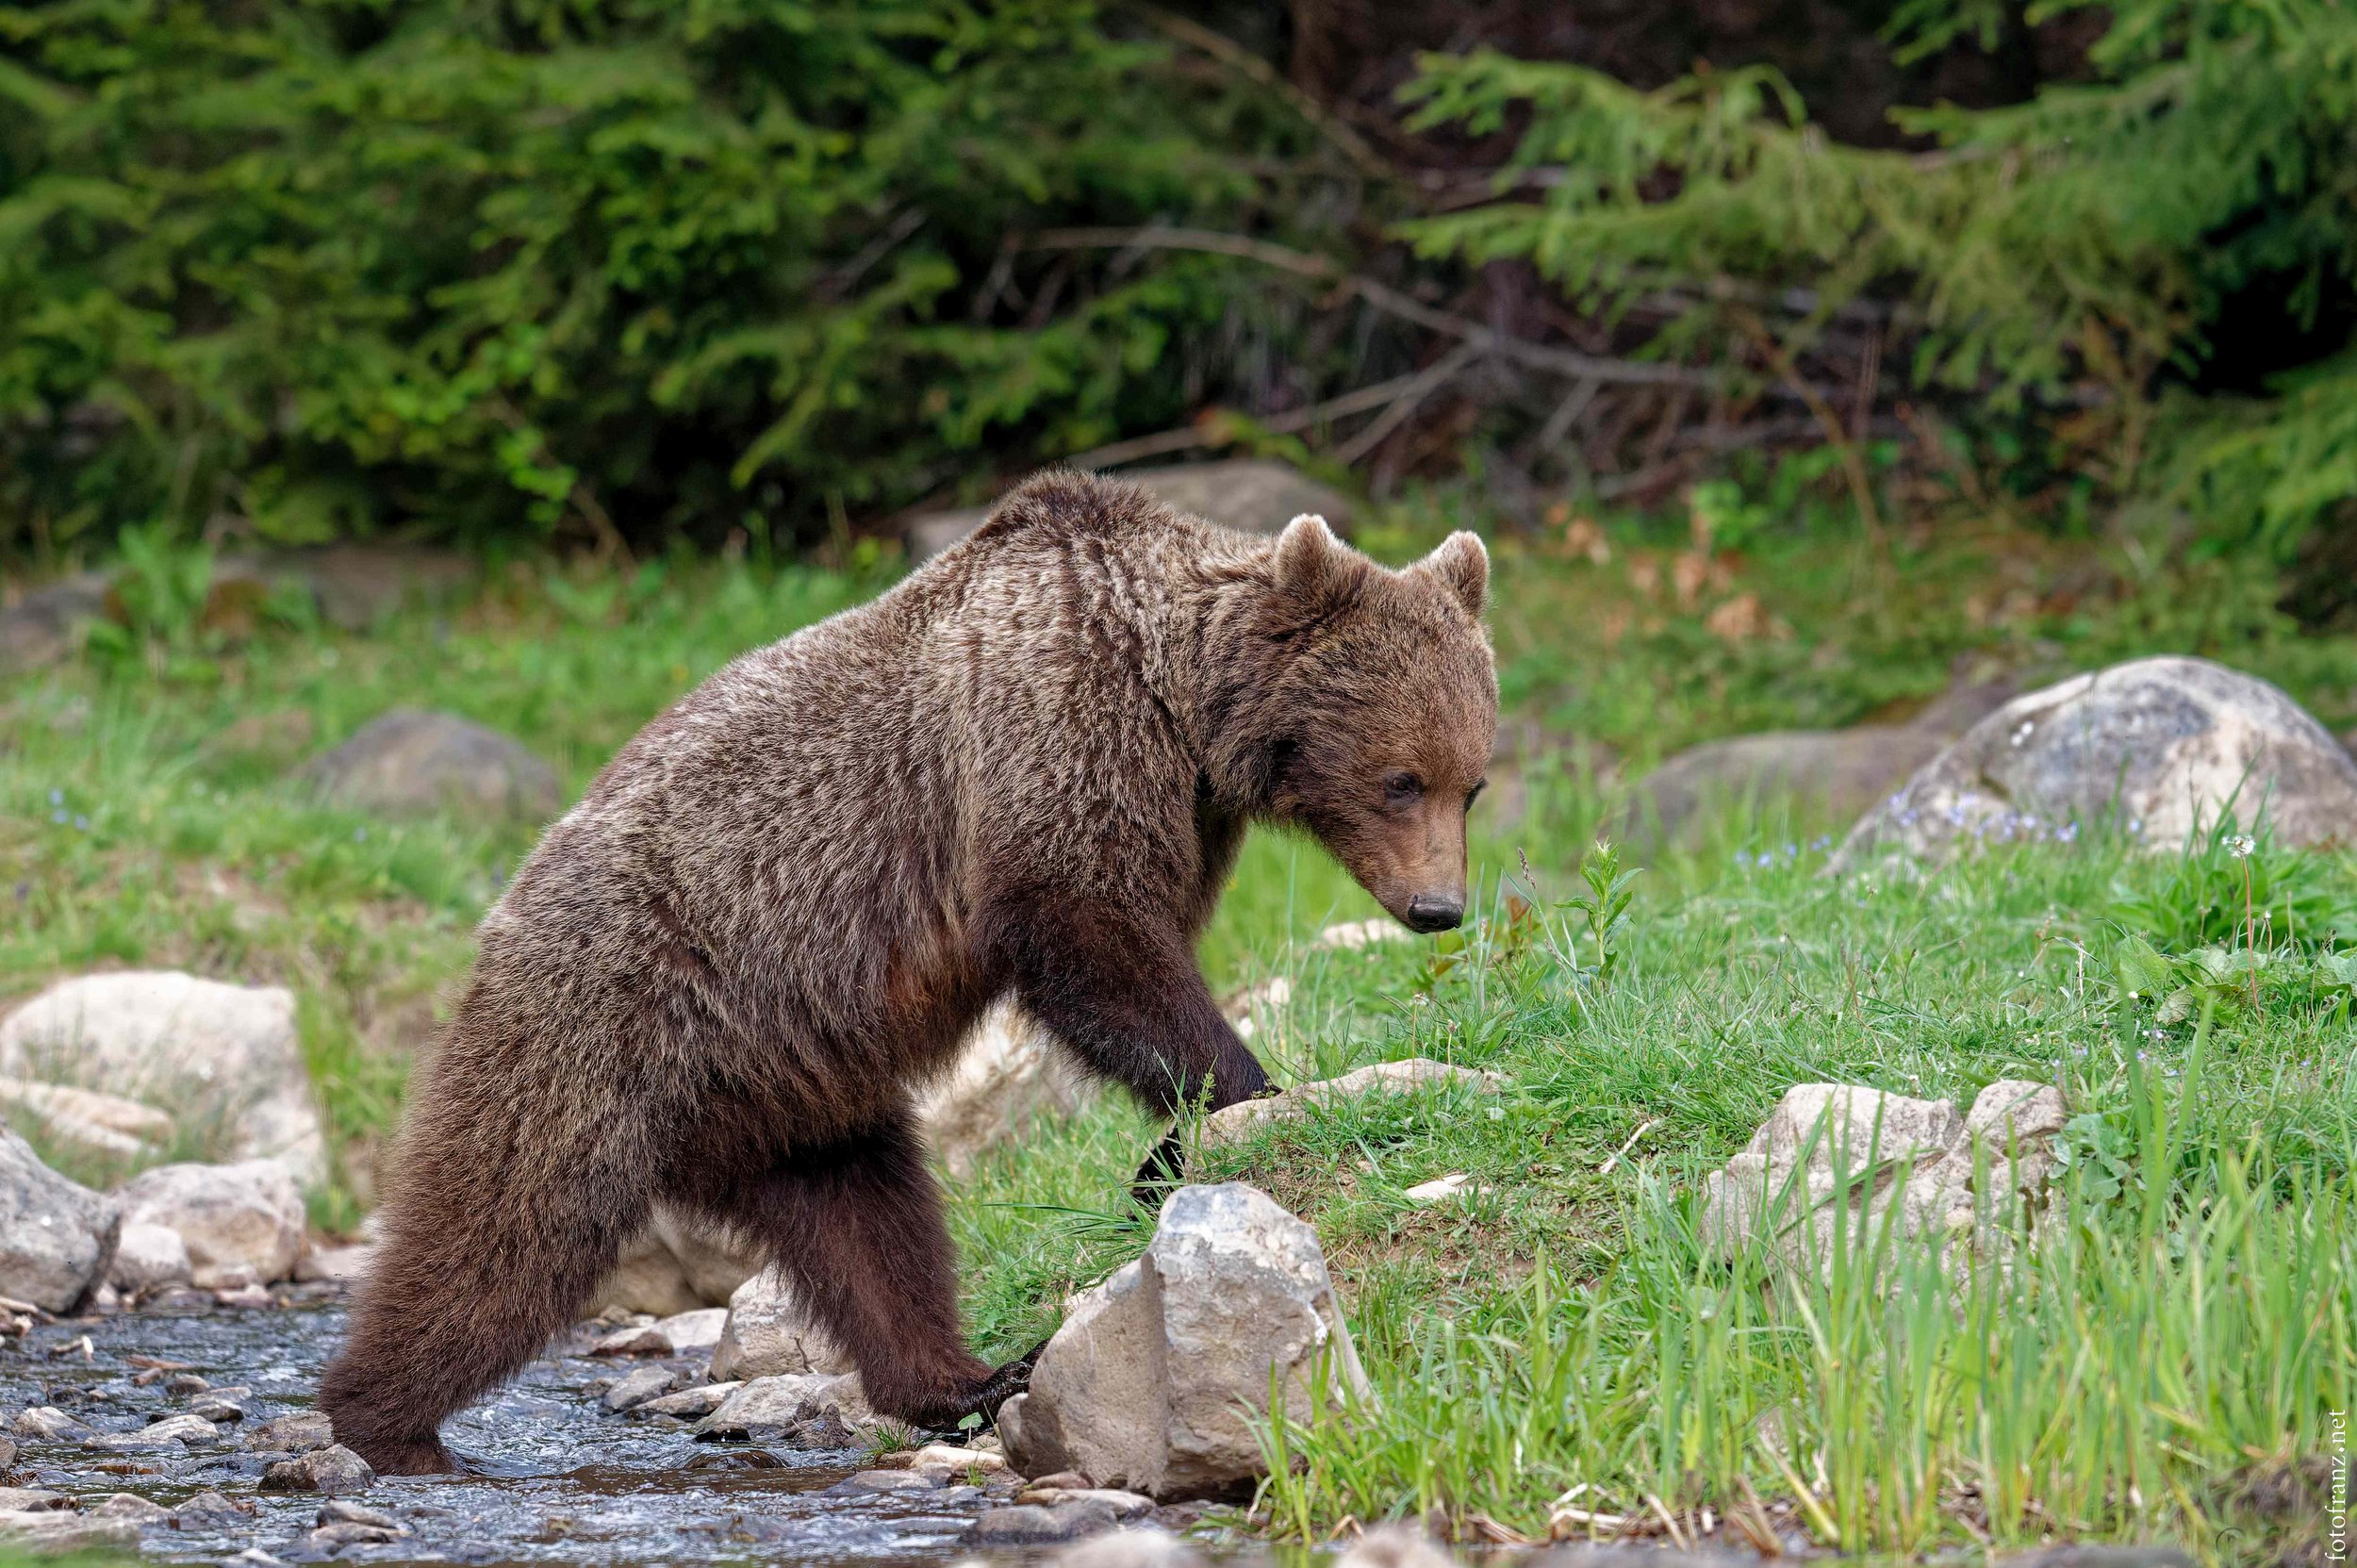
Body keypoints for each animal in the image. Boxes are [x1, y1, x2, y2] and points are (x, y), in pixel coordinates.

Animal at [317, 469, 1498, 1475]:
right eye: (1400, 779)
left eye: (1470, 782)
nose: (1438, 907)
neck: (1184, 702)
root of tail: (508, 897)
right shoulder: (1056, 735)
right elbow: (1090, 937)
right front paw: (1244, 1091)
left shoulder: (1184, 811)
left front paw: (1172, 1150)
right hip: (606, 1010)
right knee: (511, 1221)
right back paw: (380, 1416)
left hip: (788, 1083)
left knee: (870, 1221)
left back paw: (969, 1376)